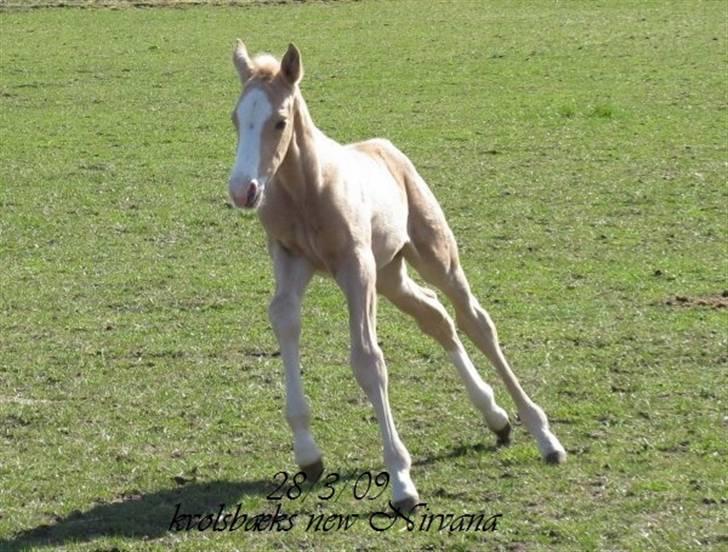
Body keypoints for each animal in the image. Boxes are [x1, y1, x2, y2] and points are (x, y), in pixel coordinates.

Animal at [229, 41, 568, 512]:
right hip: (391, 275)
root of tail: (386, 147)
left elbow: (368, 361)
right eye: (236, 118)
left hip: (432, 256)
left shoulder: (356, 269)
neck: (307, 190)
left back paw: (544, 436)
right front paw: (308, 454)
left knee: (474, 320)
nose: (242, 190)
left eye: (279, 121)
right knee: (437, 318)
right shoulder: (291, 261)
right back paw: (496, 418)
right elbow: (284, 320)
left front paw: (401, 479)